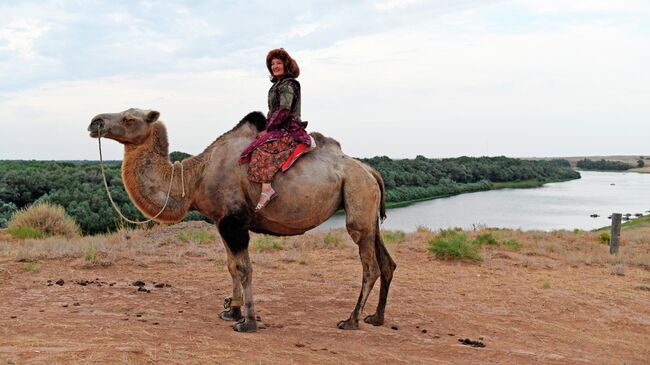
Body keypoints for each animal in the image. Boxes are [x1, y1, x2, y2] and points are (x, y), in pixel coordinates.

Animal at [87, 106, 394, 332]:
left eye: (129, 118)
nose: (94, 122)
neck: (194, 179)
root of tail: (370, 172)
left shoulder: (233, 222)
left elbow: (245, 269)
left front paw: (247, 322)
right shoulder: (221, 221)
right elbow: (231, 267)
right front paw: (231, 311)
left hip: (357, 201)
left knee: (370, 266)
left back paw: (351, 320)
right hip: (368, 212)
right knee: (387, 262)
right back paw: (376, 318)